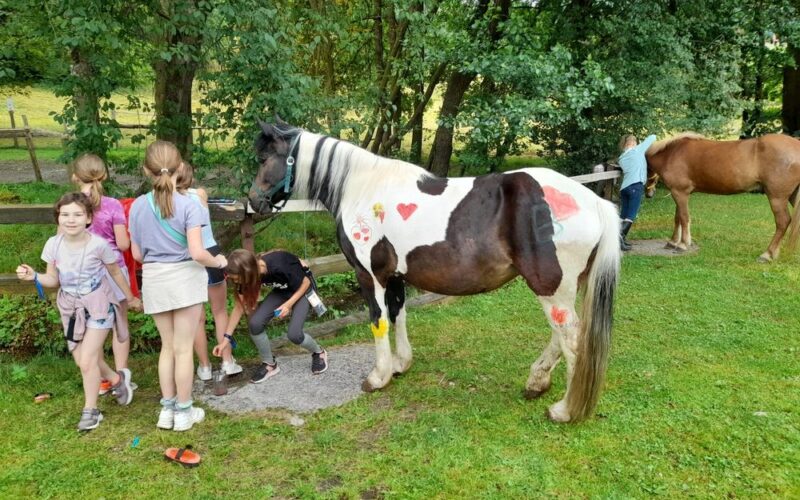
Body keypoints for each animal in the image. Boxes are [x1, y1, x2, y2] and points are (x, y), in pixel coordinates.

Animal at [249, 121, 621, 423]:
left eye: (264, 159)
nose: (253, 202)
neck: (362, 190)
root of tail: (596, 203)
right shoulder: (395, 276)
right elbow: (398, 315)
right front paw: (401, 364)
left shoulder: (370, 275)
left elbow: (379, 321)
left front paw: (379, 377)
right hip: (562, 289)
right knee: (560, 337)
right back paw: (537, 382)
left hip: (550, 287)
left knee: (571, 341)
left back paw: (564, 410)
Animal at [645, 133, 800, 261]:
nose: (649, 194)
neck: (671, 153)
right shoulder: (679, 194)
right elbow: (677, 217)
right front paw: (673, 242)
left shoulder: (680, 193)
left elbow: (684, 217)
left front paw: (682, 244)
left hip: (777, 198)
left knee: (783, 222)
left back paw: (767, 254)